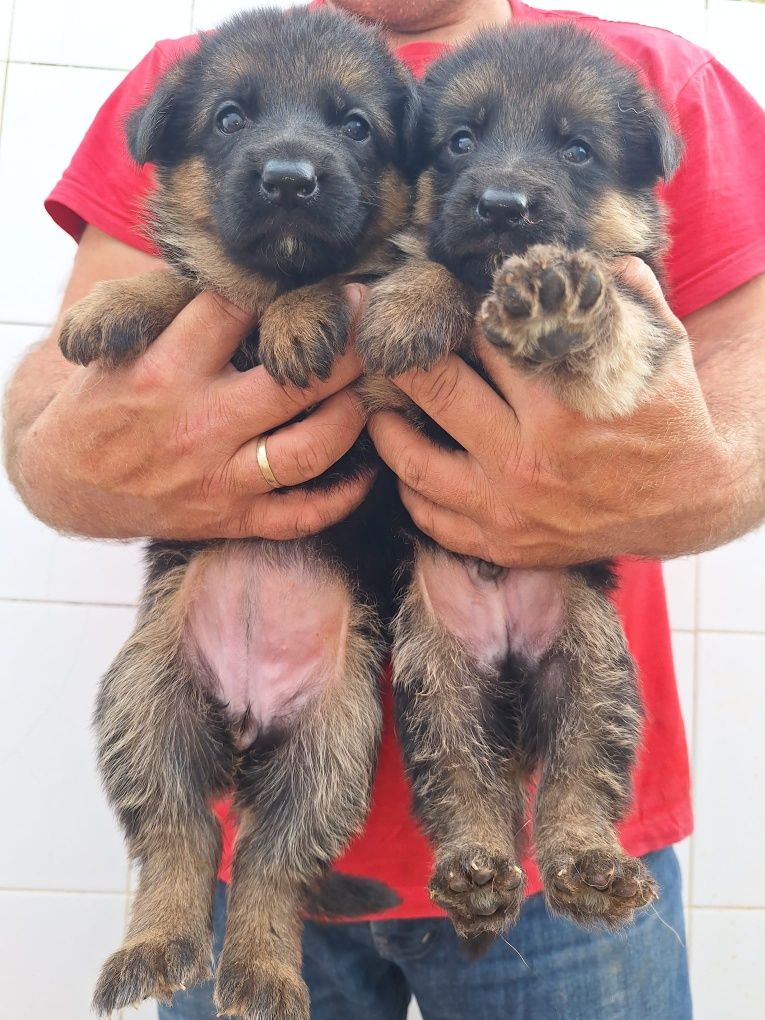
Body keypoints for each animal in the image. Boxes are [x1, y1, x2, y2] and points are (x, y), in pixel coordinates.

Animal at [58, 9, 420, 1020]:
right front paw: (115, 301)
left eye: (354, 126)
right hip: (145, 699)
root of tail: (250, 714)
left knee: (268, 866)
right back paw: (156, 946)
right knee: (179, 840)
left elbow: (344, 281)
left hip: (334, 745)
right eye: (229, 118)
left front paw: (303, 311)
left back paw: (261, 970)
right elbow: (193, 280)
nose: (290, 178)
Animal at [357, 21, 685, 938]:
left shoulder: (646, 326)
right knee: (466, 786)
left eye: (577, 149)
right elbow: (436, 262)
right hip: (436, 680)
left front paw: (562, 302)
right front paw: (408, 304)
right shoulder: (387, 398)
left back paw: (590, 866)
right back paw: (473, 872)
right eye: (460, 142)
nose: (502, 205)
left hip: (595, 670)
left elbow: (614, 308)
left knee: (578, 784)